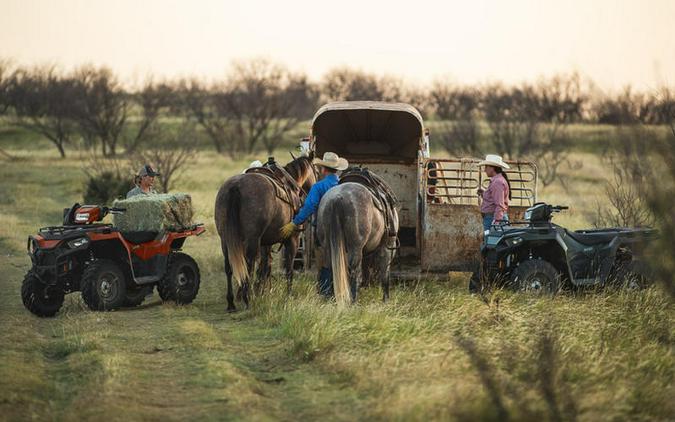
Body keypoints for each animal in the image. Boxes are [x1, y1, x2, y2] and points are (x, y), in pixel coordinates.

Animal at [215, 155, 318, 310]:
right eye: (316, 171)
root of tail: (235, 187)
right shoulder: (292, 240)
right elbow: (288, 269)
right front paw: (288, 295)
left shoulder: (265, 243)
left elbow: (265, 266)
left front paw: (262, 291)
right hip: (251, 240)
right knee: (248, 267)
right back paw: (247, 299)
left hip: (226, 240)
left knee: (229, 267)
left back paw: (232, 302)